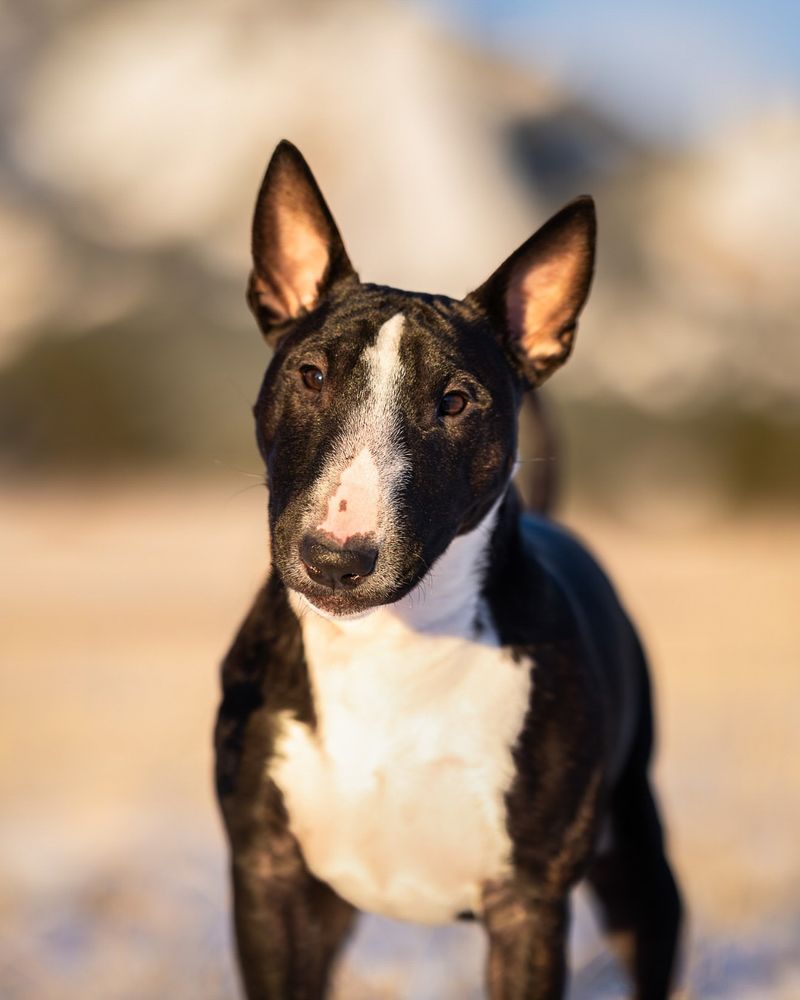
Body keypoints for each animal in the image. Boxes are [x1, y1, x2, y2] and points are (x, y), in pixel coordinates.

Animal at [214, 143, 680, 1000]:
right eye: (312, 374)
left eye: (457, 401)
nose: (336, 557)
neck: (390, 651)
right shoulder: (270, 883)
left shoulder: (528, 906)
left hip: (638, 862)